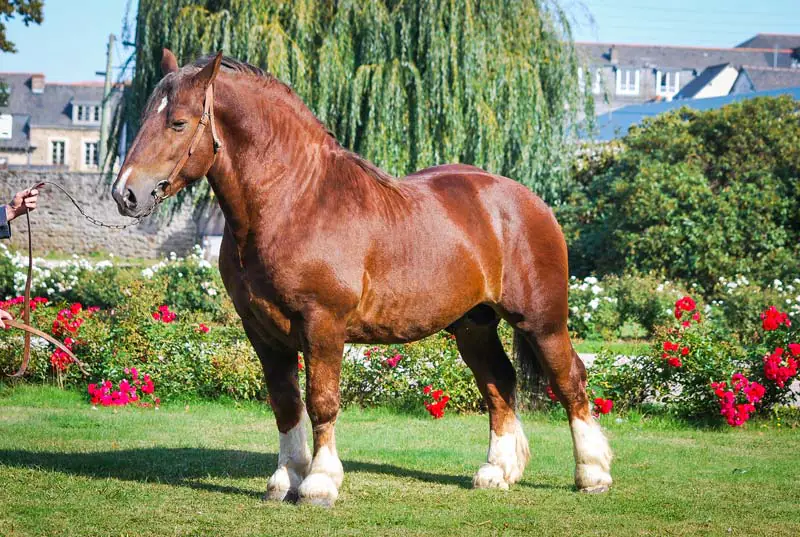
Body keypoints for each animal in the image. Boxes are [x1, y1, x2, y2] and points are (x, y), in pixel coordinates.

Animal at [112, 48, 612, 504]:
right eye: (145, 116)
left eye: (178, 123)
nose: (125, 194)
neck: (293, 201)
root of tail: (528, 201)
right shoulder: (263, 332)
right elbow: (285, 403)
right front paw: (284, 480)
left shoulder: (322, 325)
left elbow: (321, 401)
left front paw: (318, 483)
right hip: (474, 325)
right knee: (500, 383)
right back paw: (497, 471)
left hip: (542, 322)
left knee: (570, 380)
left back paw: (592, 474)